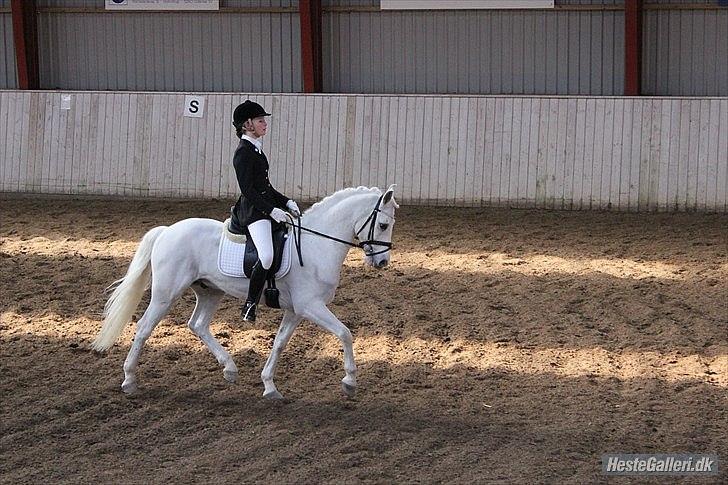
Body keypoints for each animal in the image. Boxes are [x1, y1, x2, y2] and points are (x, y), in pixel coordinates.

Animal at [92, 185, 399, 399]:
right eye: (383, 225)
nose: (382, 263)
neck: (316, 246)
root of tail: (167, 231)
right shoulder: (311, 306)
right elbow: (345, 333)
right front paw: (350, 382)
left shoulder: (296, 310)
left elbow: (279, 343)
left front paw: (270, 386)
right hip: (166, 293)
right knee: (144, 328)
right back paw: (129, 381)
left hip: (210, 291)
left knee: (197, 325)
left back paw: (229, 368)